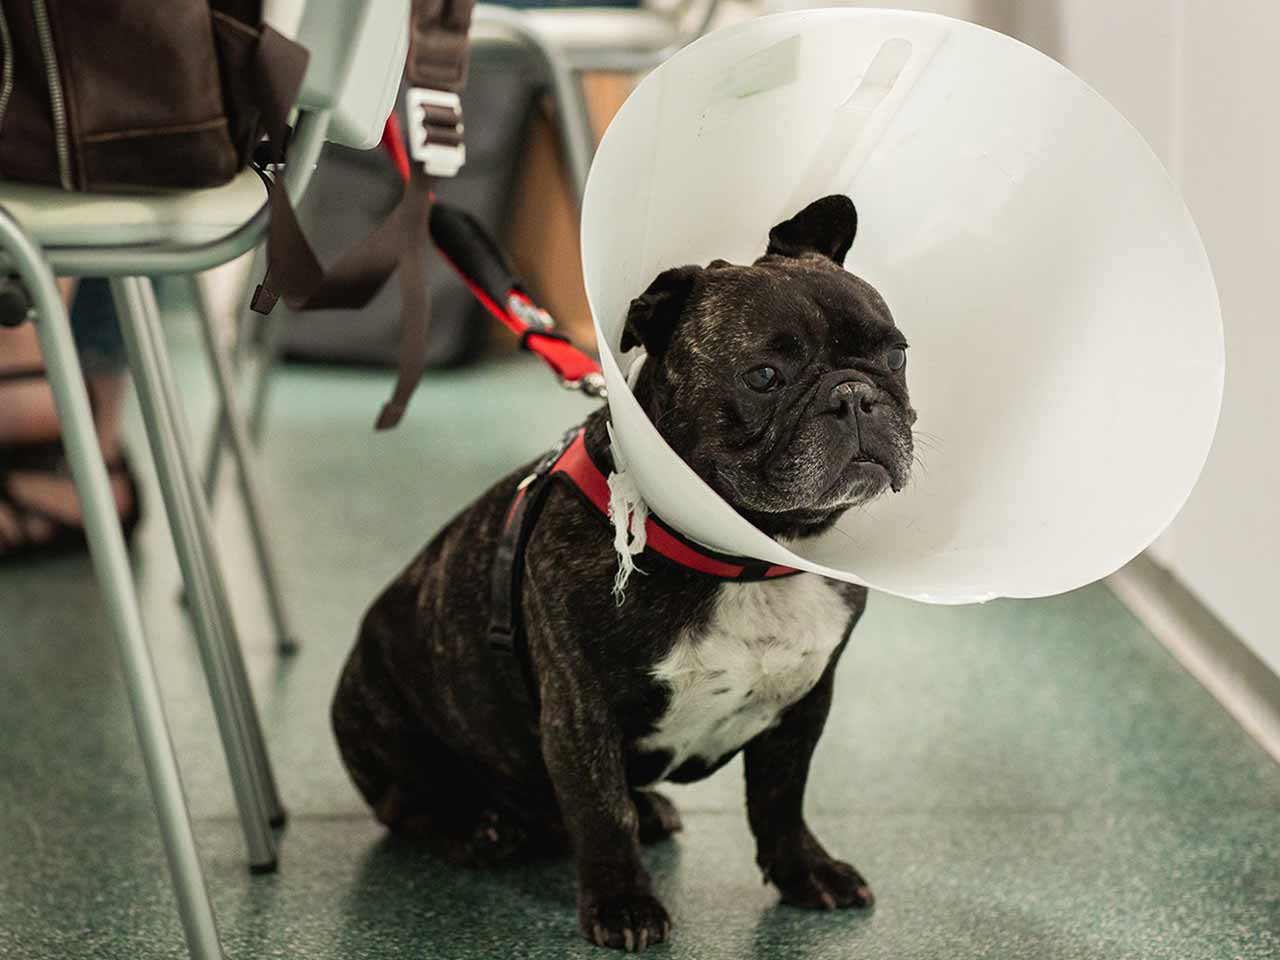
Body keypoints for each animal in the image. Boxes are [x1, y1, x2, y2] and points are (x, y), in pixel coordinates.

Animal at [332, 194, 916, 951]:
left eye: (896, 354)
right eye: (763, 377)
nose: (855, 396)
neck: (743, 560)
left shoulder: (804, 703)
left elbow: (782, 798)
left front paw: (805, 872)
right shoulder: (581, 711)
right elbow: (601, 811)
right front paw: (622, 904)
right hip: (393, 730)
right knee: (410, 805)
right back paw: (478, 829)